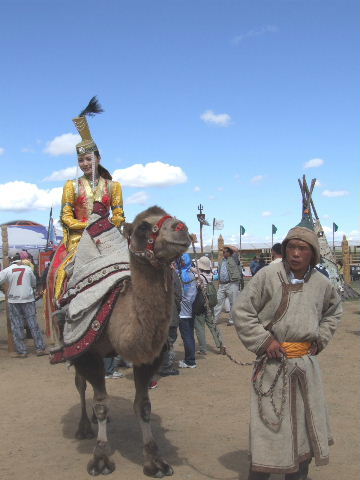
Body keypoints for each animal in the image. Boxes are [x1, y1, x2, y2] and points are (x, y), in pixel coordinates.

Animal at [68, 205, 191, 476]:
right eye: (143, 226)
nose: (181, 227)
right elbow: (101, 403)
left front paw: (155, 462)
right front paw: (100, 459)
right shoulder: (87, 352)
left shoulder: (149, 357)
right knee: (81, 385)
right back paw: (83, 427)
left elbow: (143, 405)